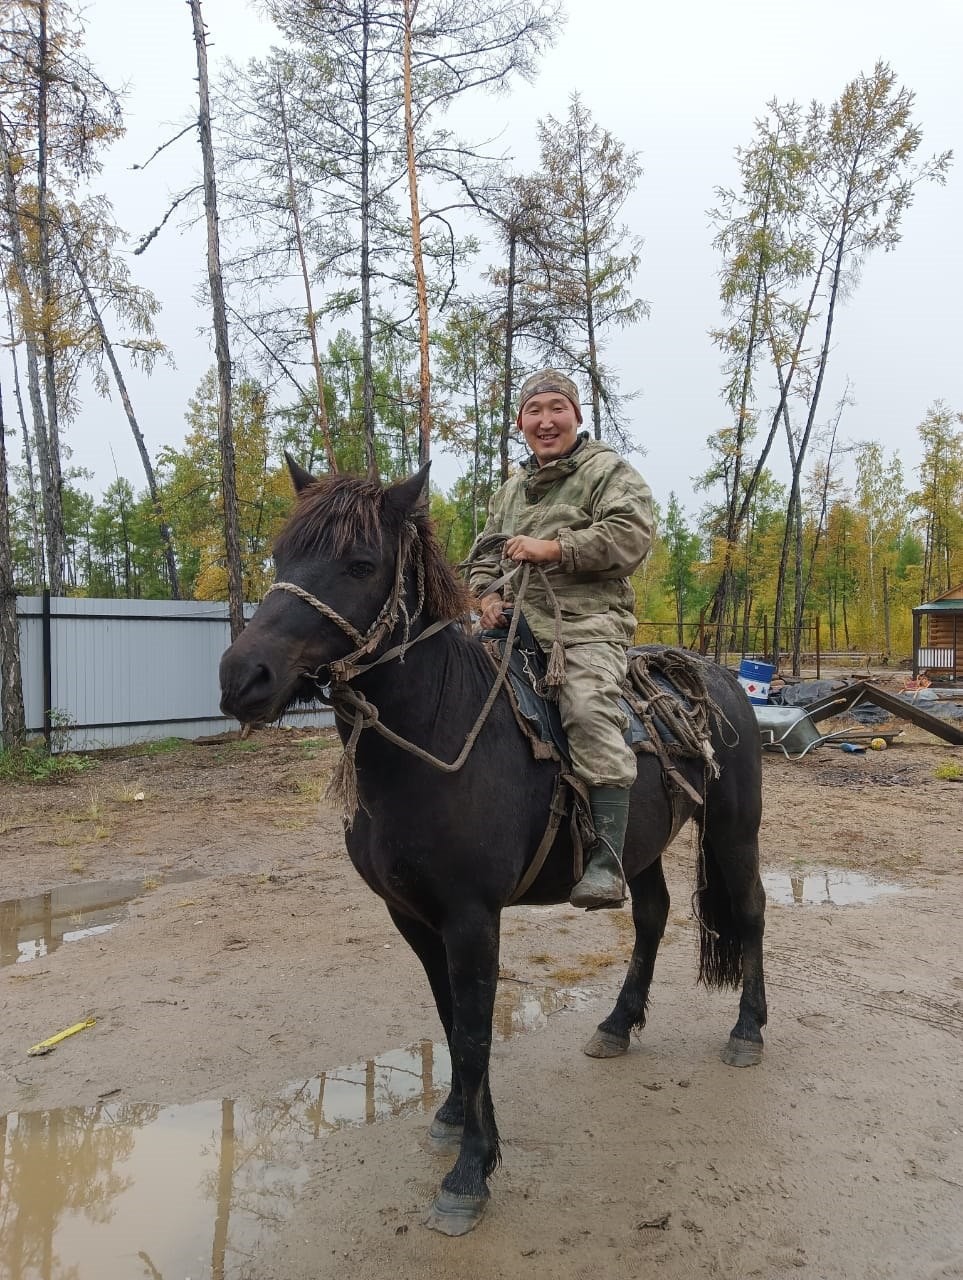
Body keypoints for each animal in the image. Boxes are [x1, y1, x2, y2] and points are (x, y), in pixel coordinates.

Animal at [217, 465, 768, 1233]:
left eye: (360, 564)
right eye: (278, 556)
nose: (244, 678)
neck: (439, 731)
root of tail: (720, 679)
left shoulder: (473, 918)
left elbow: (476, 1034)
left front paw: (470, 1174)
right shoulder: (413, 918)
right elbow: (451, 1022)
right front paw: (454, 1117)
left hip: (733, 831)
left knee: (749, 912)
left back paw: (747, 1032)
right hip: (641, 847)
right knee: (652, 915)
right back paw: (617, 1024)